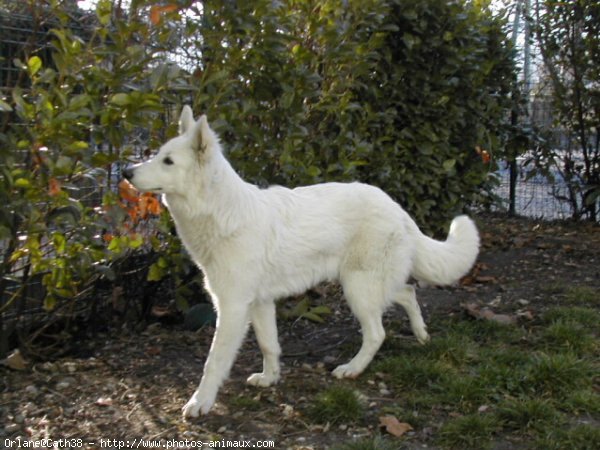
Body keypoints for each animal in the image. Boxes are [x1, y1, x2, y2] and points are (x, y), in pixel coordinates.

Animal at [124, 105, 480, 418]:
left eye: (168, 161)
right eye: (158, 155)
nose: (127, 172)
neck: (221, 211)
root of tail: (397, 207)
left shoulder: (233, 307)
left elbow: (213, 362)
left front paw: (200, 403)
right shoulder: (260, 304)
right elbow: (269, 345)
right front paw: (270, 378)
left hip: (357, 289)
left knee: (378, 332)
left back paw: (352, 369)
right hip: (369, 284)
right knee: (407, 292)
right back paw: (422, 336)